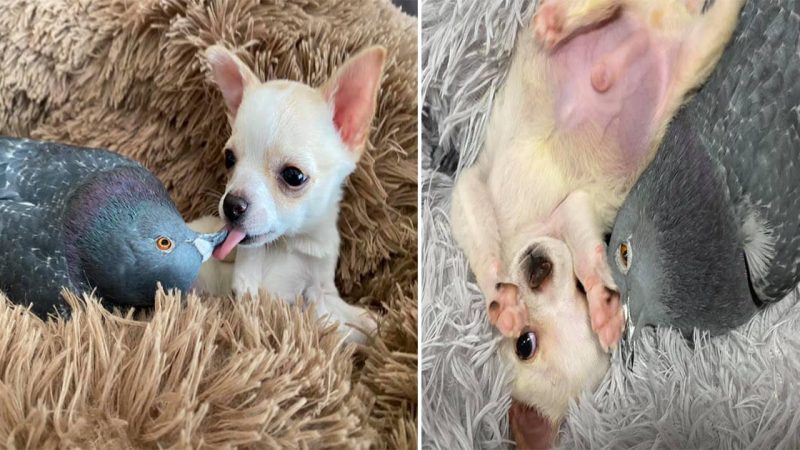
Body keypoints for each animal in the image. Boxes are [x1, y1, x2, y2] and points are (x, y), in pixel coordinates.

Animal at [198, 44, 390, 344]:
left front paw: (382, 326)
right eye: (229, 159)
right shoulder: (254, 291)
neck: (294, 244)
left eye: (293, 176)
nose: (231, 205)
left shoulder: (322, 290)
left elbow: (353, 320)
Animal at [450, 0, 744, 444]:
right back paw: (566, 20)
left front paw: (600, 301)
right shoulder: (478, 191)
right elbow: (485, 247)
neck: (527, 234)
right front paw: (502, 299)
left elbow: (587, 250)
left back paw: (565, 19)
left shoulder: (570, 211)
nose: (537, 267)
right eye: (524, 344)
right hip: (700, 48)